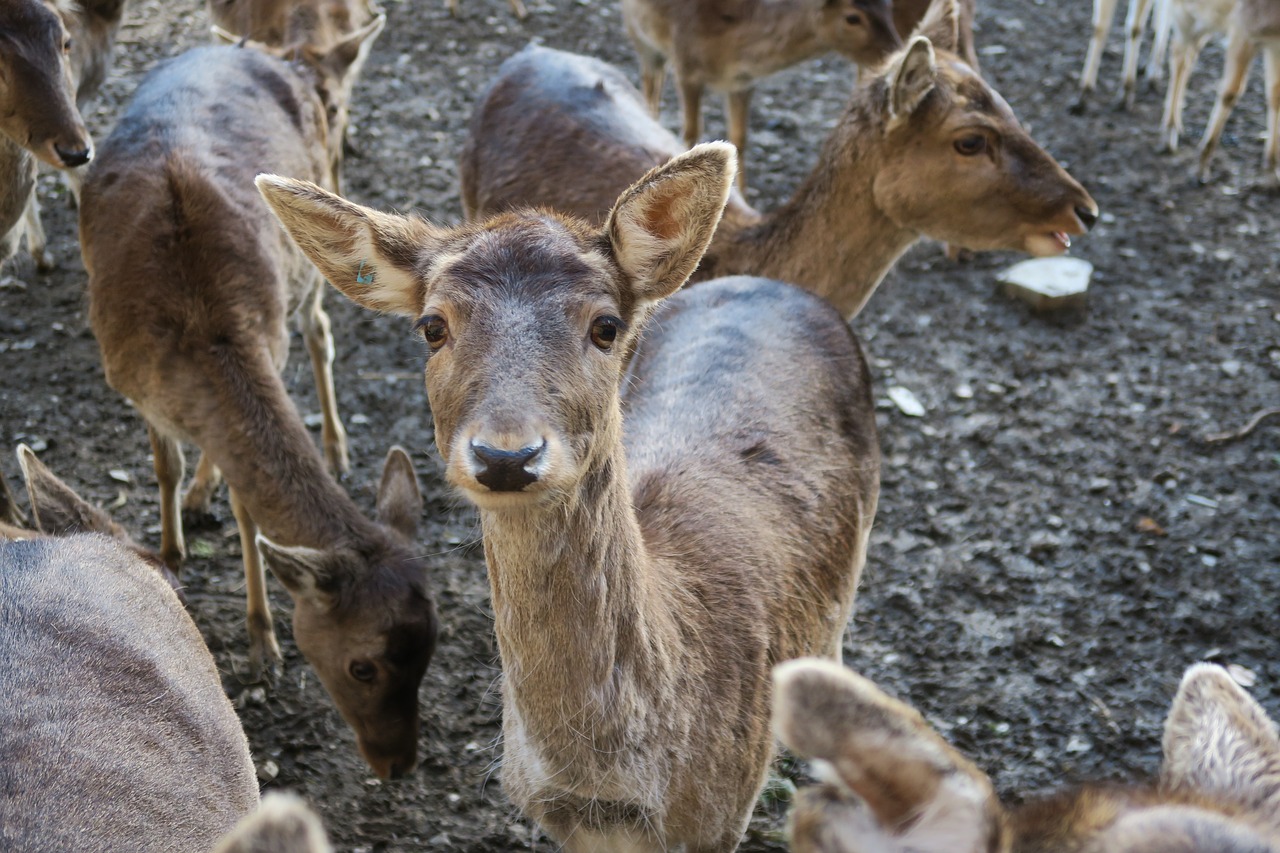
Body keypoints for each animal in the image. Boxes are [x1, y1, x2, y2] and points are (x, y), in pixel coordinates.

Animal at [83, 23, 440, 778]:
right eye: (363, 665)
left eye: (429, 650)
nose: (398, 764)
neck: (197, 329)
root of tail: (258, 49)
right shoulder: (129, 384)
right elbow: (164, 468)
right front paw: (172, 550)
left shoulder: (267, 336)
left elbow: (250, 511)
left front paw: (263, 641)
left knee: (320, 332)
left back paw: (330, 445)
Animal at [258, 140, 880, 850]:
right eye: (432, 326)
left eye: (605, 326)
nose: (506, 456)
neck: (616, 796)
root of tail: (781, 287)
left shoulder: (721, 819)